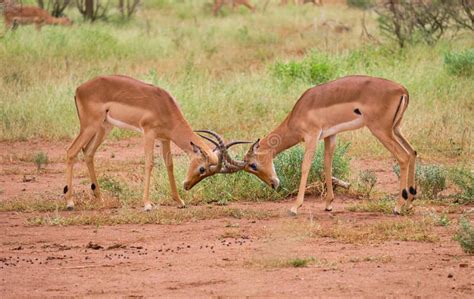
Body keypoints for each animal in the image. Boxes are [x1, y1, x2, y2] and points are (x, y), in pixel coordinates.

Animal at [64, 76, 246, 212]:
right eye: (202, 169)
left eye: (209, 174)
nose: (187, 185)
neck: (164, 106)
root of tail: (79, 89)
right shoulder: (148, 133)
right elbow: (149, 163)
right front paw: (147, 204)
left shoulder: (164, 138)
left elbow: (169, 165)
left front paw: (179, 201)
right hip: (90, 126)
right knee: (71, 151)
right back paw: (70, 203)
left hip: (104, 128)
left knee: (88, 152)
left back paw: (100, 198)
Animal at [221, 75, 414, 216]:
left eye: (253, 165)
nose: (274, 184)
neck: (300, 111)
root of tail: (402, 89)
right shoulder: (330, 136)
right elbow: (327, 165)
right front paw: (328, 204)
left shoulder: (311, 137)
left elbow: (306, 166)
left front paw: (294, 207)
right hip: (395, 129)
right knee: (413, 152)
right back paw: (410, 202)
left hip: (381, 130)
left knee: (403, 156)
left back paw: (398, 207)